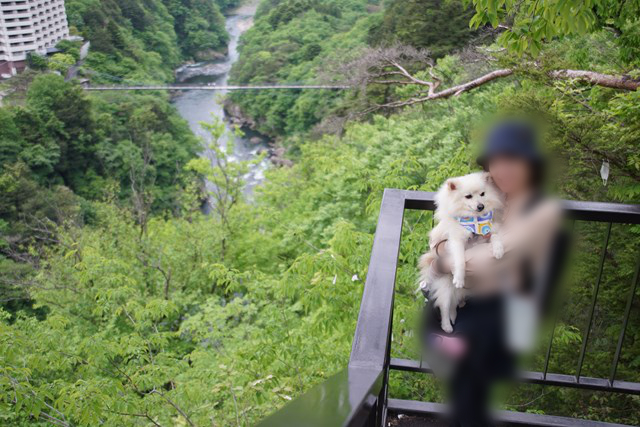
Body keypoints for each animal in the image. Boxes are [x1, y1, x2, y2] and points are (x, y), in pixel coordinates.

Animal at [420, 172, 504, 332]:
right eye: (468, 196)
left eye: (482, 194)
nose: (481, 206)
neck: (475, 221)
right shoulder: (455, 241)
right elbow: (460, 260)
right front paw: (459, 278)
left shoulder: (487, 234)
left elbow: (495, 236)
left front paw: (498, 250)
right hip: (446, 286)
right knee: (444, 307)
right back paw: (447, 325)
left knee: (454, 304)